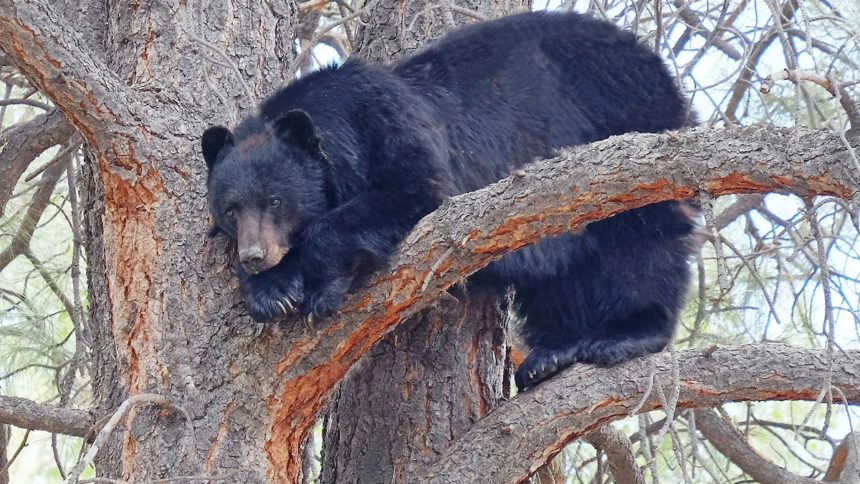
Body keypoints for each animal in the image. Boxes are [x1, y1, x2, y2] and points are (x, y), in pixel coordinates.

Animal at [203, 10, 700, 390]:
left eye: (275, 200)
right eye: (230, 209)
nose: (254, 256)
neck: (338, 115)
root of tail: (658, 66)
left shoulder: (389, 127)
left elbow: (410, 191)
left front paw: (321, 288)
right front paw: (272, 292)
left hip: (623, 141)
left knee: (641, 240)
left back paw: (625, 334)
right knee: (560, 275)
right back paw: (551, 354)